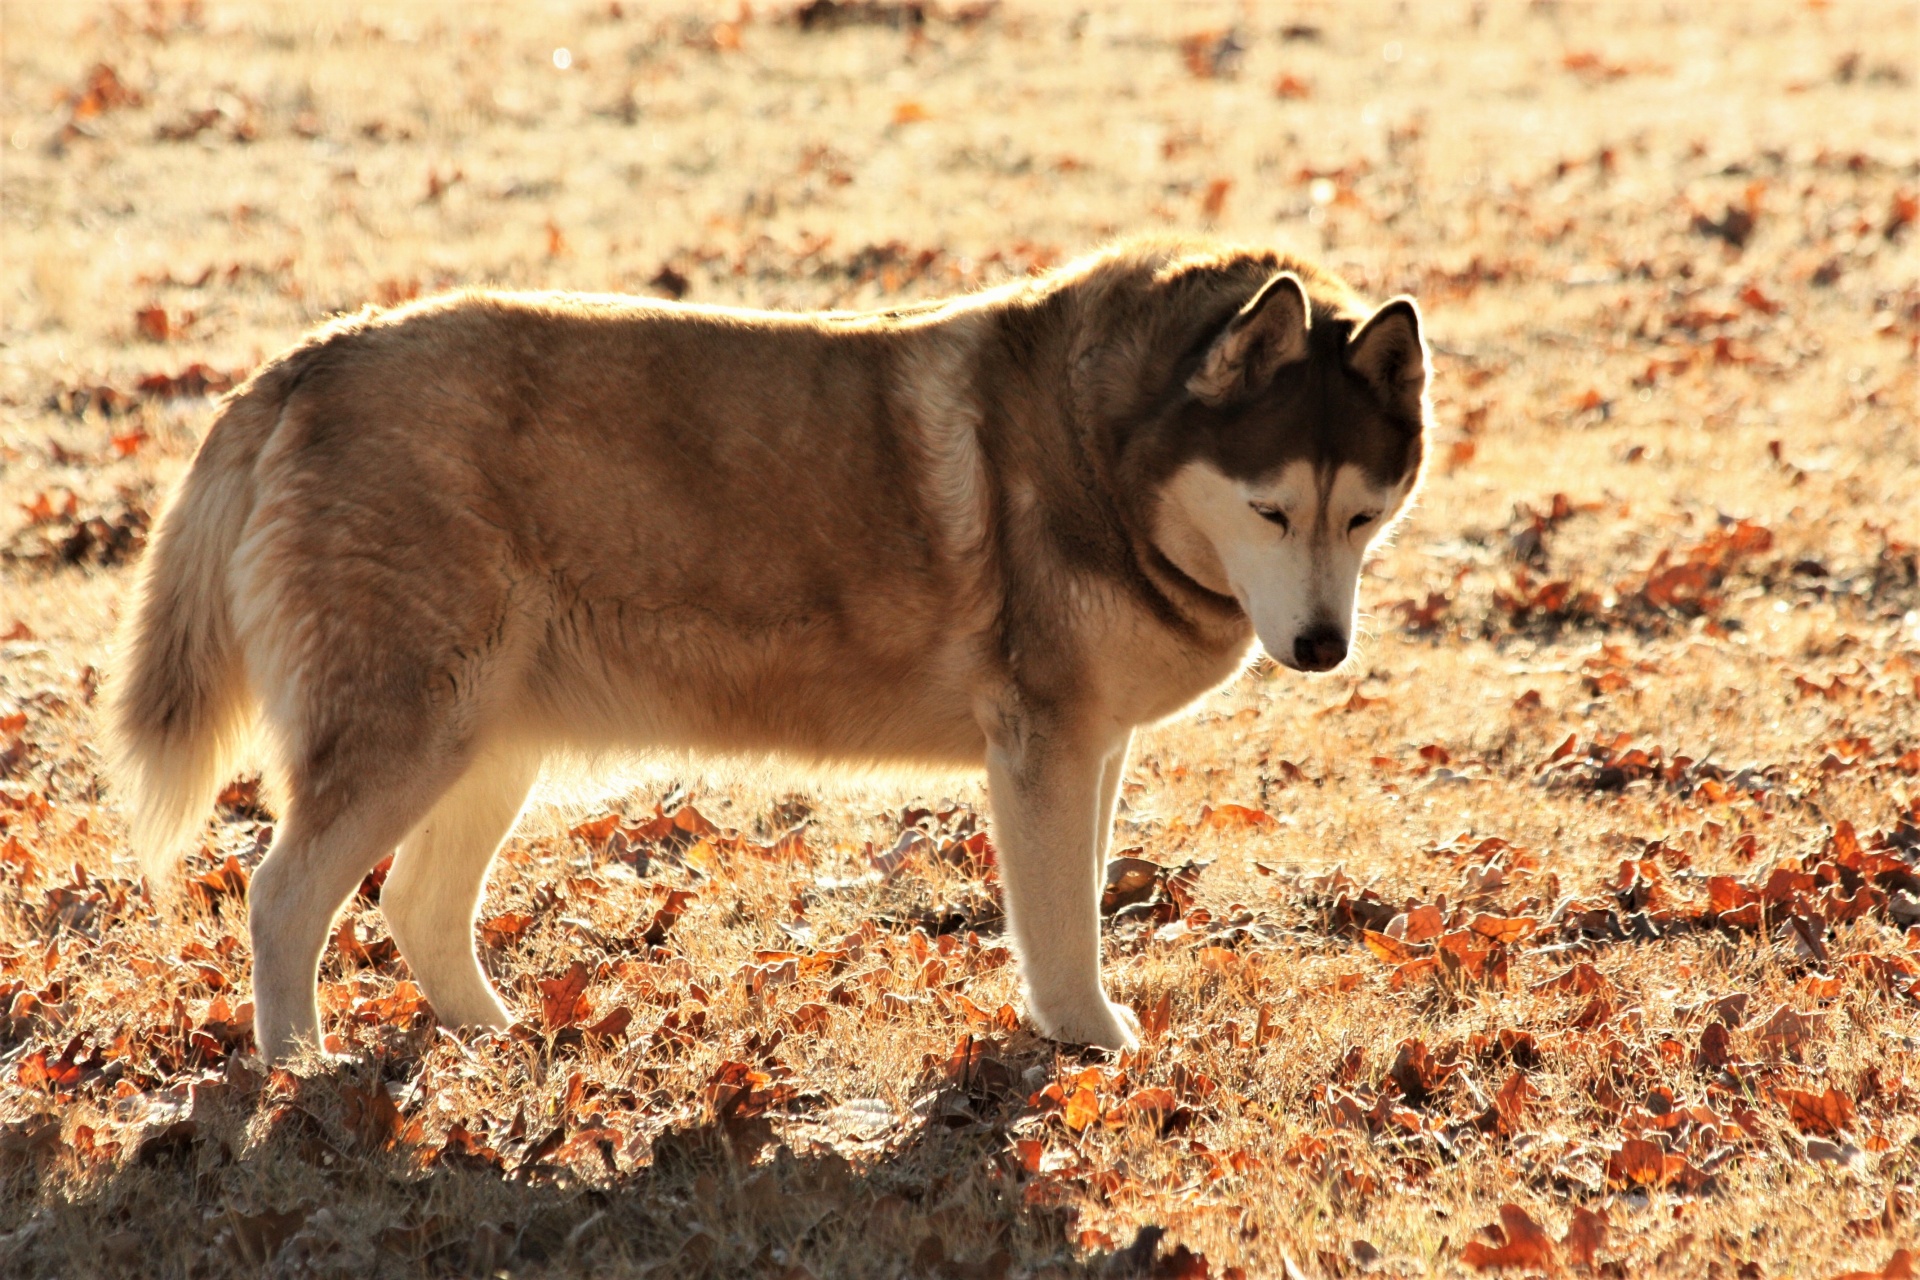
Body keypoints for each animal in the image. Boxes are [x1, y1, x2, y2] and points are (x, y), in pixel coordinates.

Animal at [108, 237, 1428, 1059]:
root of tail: (305, 359)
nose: (1321, 645)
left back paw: (498, 1035)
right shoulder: (1042, 746)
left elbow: (1084, 890)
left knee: (416, 905)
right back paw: (300, 1068)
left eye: (1363, 513)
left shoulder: (1092, 746)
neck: (1103, 453)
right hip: (408, 732)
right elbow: (1061, 922)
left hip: (486, 743)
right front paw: (1086, 1040)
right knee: (283, 898)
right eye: (1271, 509)